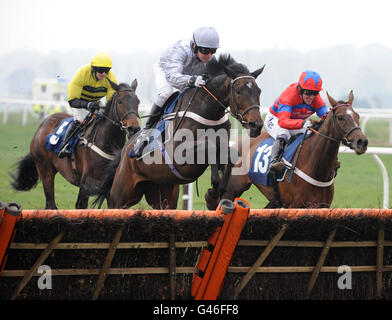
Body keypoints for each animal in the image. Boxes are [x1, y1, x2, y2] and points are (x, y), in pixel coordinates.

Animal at [9, 79, 142, 210]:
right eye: (120, 101)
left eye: (138, 102)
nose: (133, 128)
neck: (106, 142)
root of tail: (42, 124)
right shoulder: (87, 181)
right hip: (45, 169)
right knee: (51, 204)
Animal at [95, 54, 266, 210]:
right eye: (238, 91)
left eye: (259, 91)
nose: (256, 125)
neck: (207, 111)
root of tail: (125, 151)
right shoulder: (181, 156)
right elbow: (209, 146)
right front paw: (211, 195)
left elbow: (229, 155)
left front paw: (215, 195)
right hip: (121, 196)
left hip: (163, 195)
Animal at [207, 90, 370, 210]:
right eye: (341, 117)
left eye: (357, 115)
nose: (362, 142)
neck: (316, 167)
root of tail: (237, 144)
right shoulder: (296, 205)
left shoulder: (322, 206)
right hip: (232, 189)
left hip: (274, 200)